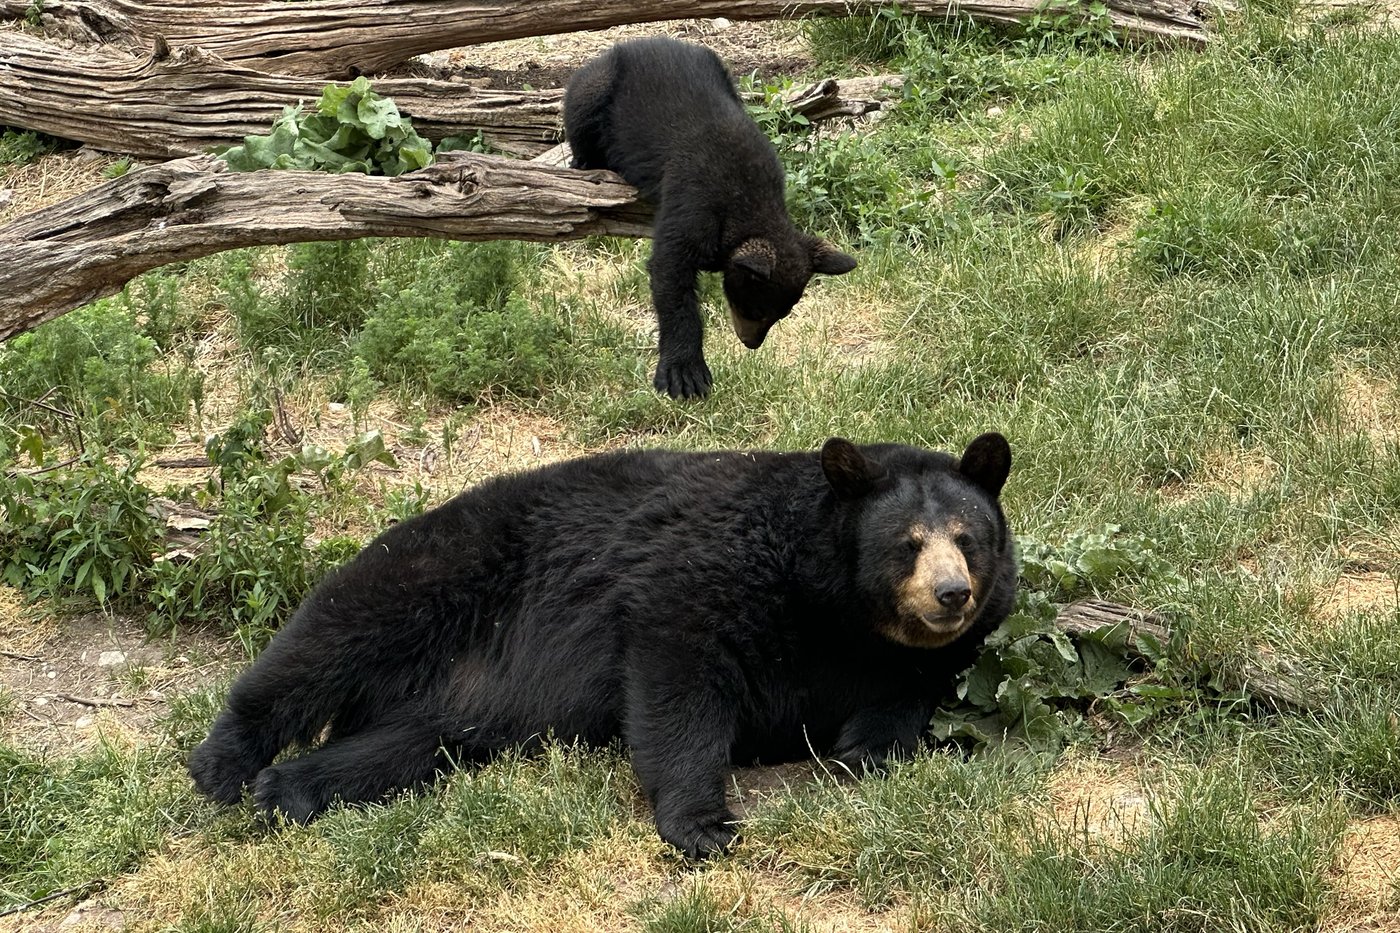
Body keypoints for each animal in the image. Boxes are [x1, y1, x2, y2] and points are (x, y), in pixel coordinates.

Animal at [189, 431, 1019, 851]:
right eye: (908, 542)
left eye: (966, 537)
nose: (952, 593)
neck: (835, 605)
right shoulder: (714, 568)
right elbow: (679, 672)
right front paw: (702, 823)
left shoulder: (924, 654)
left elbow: (904, 699)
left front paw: (862, 749)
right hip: (441, 567)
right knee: (327, 637)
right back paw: (226, 763)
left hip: (449, 710)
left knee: (400, 747)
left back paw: (291, 788)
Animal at [562, 37, 856, 395]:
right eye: (754, 307)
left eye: (782, 314)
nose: (751, 344)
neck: (749, 201)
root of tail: (633, 42)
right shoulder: (693, 204)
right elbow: (671, 277)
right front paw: (684, 374)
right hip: (593, 88)